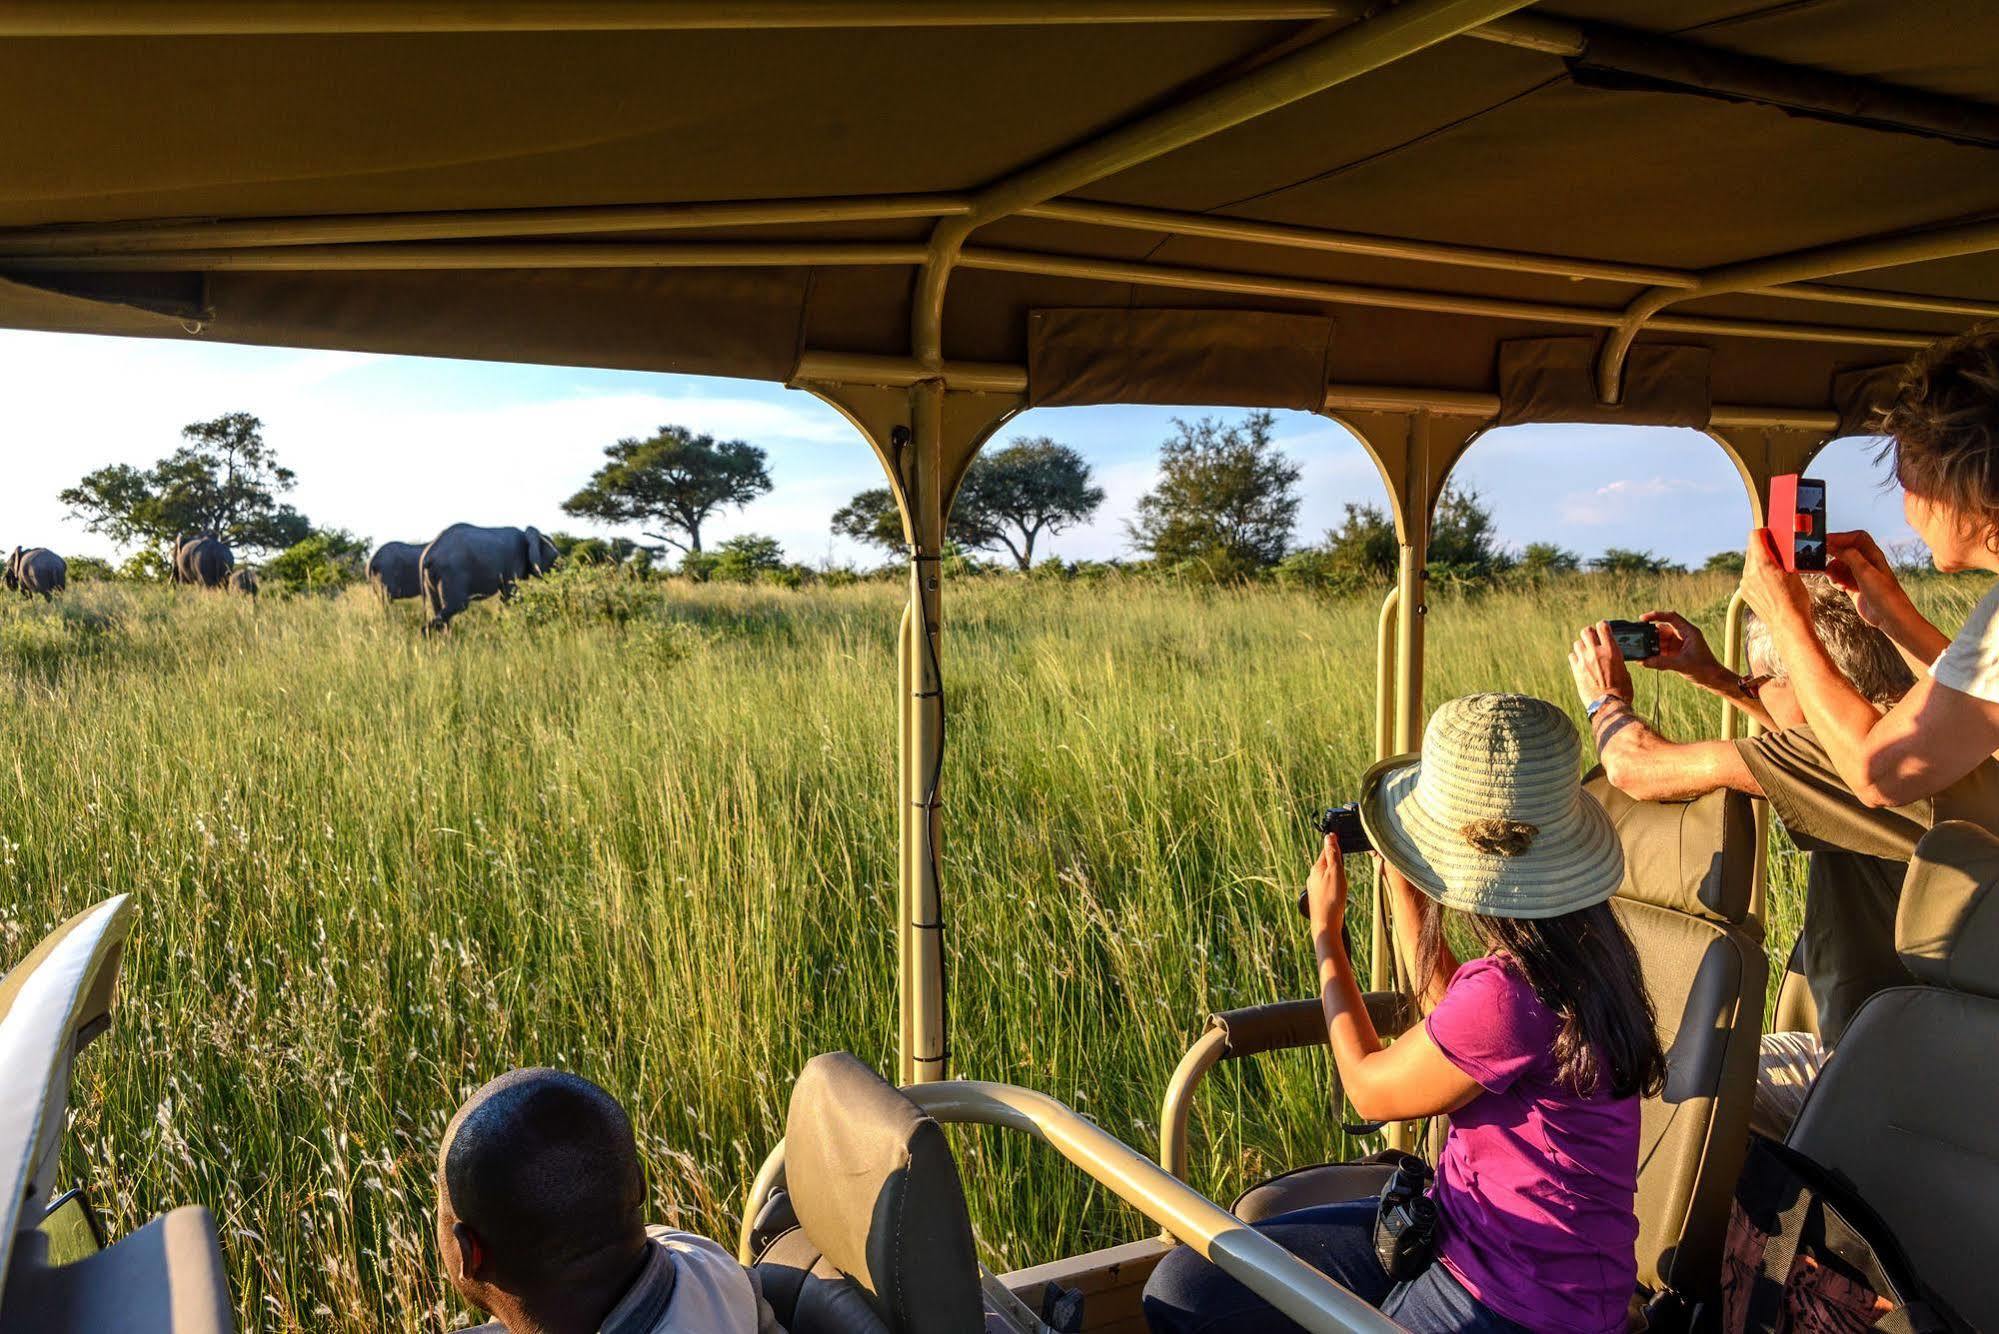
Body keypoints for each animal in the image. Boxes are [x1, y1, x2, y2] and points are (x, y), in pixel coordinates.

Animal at [413, 524, 555, 636]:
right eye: (554, 557)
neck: (526, 534)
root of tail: (427, 555)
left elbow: (506, 598)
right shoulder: (513, 562)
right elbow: (511, 596)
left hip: (431, 578)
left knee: (438, 609)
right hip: (452, 573)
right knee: (458, 605)